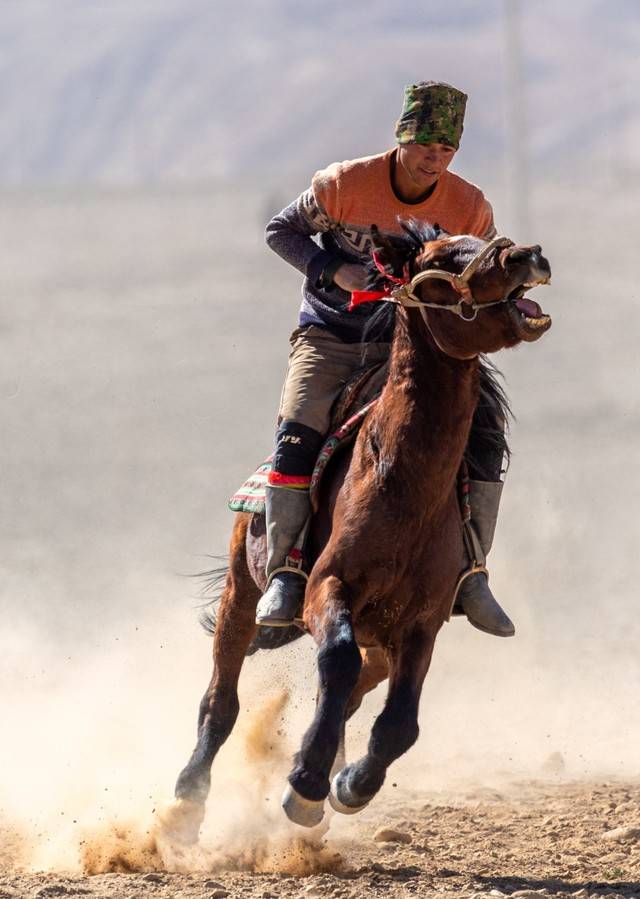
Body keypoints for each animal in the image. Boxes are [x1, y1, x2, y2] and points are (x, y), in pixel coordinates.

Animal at [172, 223, 552, 836]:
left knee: (352, 691)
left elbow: (399, 720)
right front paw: (306, 783)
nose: (527, 255)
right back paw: (188, 799)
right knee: (222, 698)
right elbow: (337, 659)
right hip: (241, 591)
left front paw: (347, 784)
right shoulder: (328, 588)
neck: (399, 489)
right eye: (443, 258)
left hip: (381, 636)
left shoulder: (422, 622)